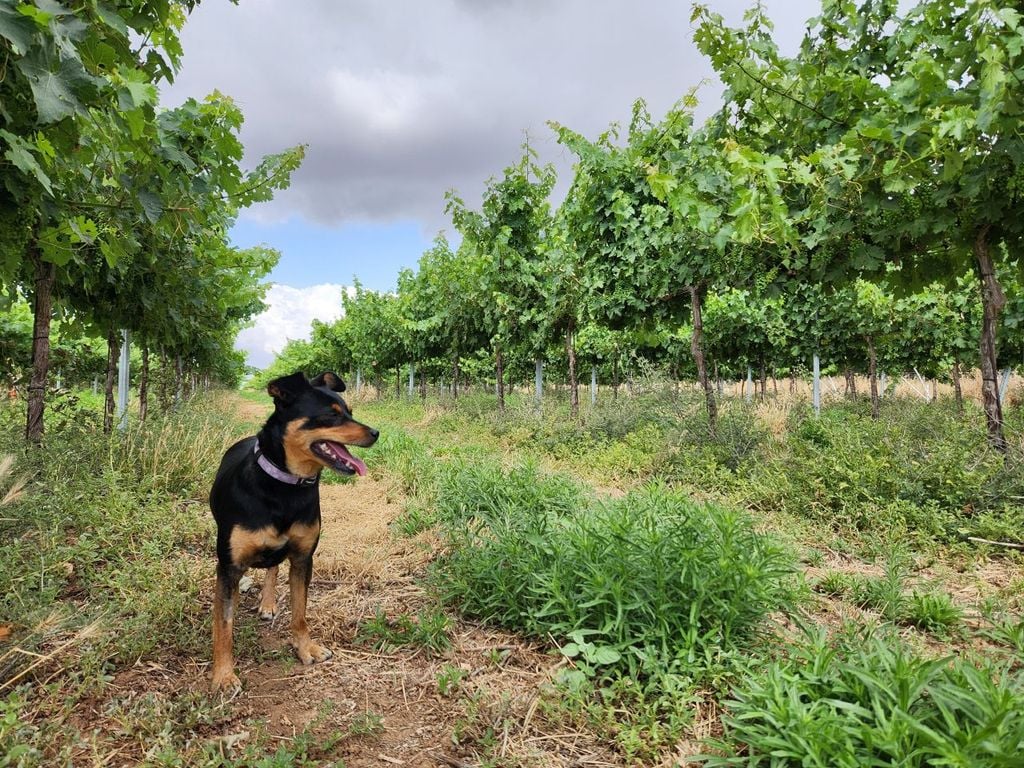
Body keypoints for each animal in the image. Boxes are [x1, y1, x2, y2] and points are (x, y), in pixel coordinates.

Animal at [208, 372, 380, 692]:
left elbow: (300, 612)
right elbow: (223, 625)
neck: (284, 486)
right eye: (331, 415)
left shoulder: (303, 559)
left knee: (273, 568)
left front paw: (305, 648)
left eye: (350, 411)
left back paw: (268, 602)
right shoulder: (229, 566)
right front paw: (223, 675)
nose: (376, 433)